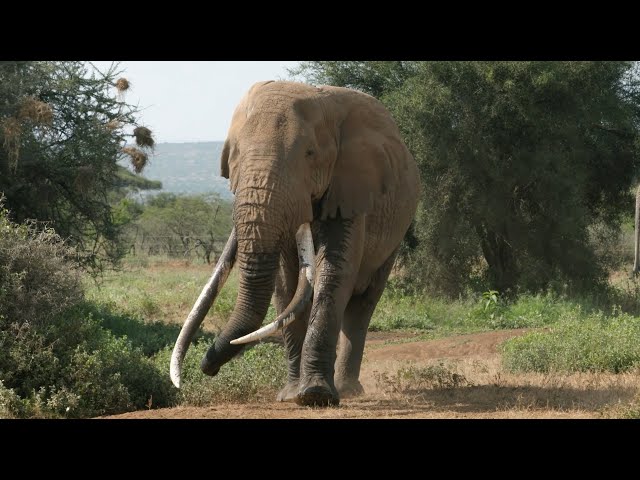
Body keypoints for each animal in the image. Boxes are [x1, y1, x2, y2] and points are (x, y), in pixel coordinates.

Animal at [170, 79, 420, 404]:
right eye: (235, 154)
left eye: (310, 154)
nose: (206, 367)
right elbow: (285, 282)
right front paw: (290, 395)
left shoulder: (350, 186)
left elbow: (334, 272)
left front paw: (315, 395)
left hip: (396, 233)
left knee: (363, 302)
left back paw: (348, 390)